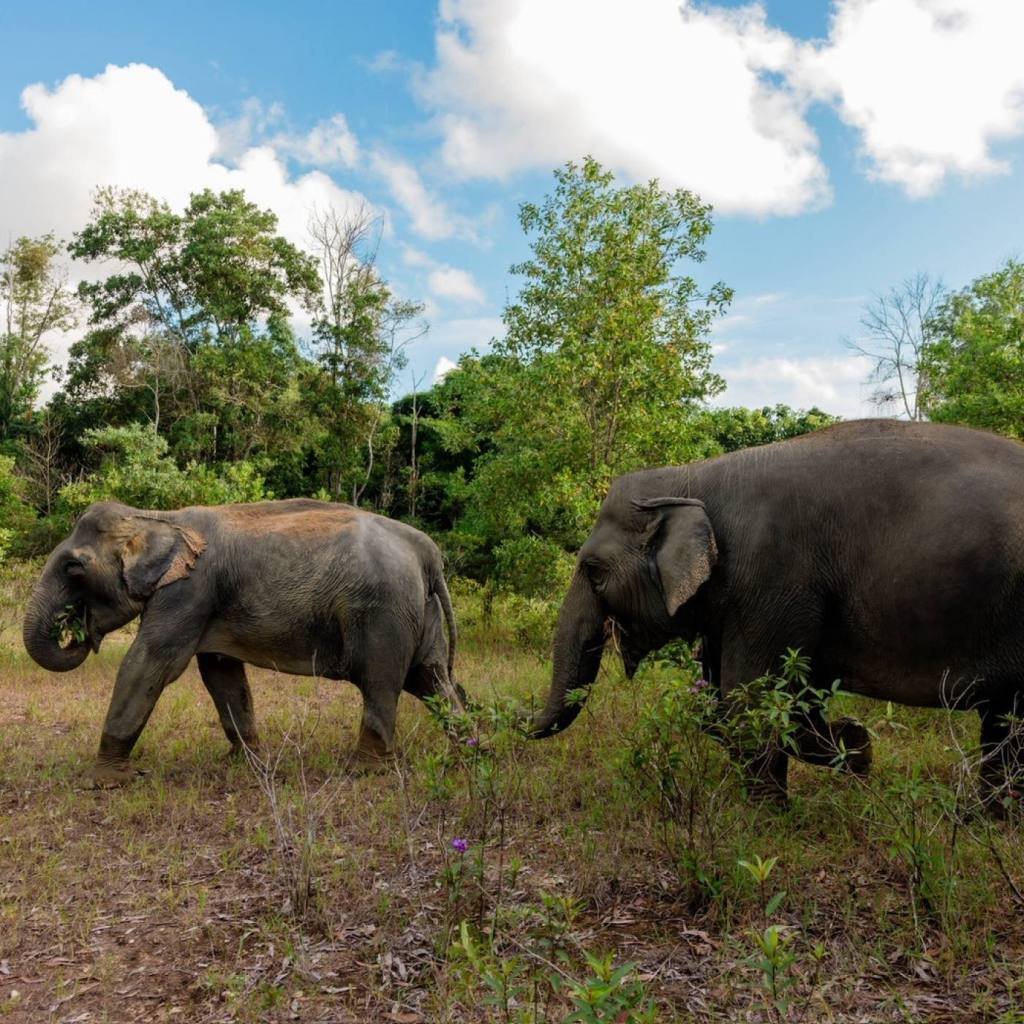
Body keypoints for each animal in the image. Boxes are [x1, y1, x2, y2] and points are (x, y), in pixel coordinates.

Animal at [23, 498, 463, 786]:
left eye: (74, 567)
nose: (77, 629)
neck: (159, 517)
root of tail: (427, 552)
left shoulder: (189, 590)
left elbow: (152, 663)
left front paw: (100, 781)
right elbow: (220, 673)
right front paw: (246, 763)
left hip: (383, 615)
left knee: (382, 682)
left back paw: (365, 771)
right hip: (418, 614)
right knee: (430, 679)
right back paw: (469, 751)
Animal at [528, 419, 1024, 811]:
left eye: (593, 571)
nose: (517, 722)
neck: (693, 476)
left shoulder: (772, 575)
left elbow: (747, 700)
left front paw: (772, 816)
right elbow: (735, 705)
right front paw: (856, 747)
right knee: (1004, 722)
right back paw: (986, 819)